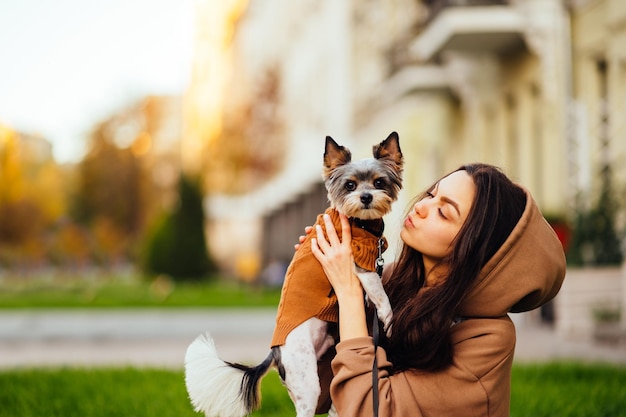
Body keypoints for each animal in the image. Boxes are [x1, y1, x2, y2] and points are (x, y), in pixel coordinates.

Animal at [183, 132, 402, 416]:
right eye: (350, 185)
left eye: (378, 182)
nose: (366, 197)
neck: (362, 224)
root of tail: (276, 353)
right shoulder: (360, 263)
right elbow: (380, 292)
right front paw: (388, 317)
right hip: (307, 383)